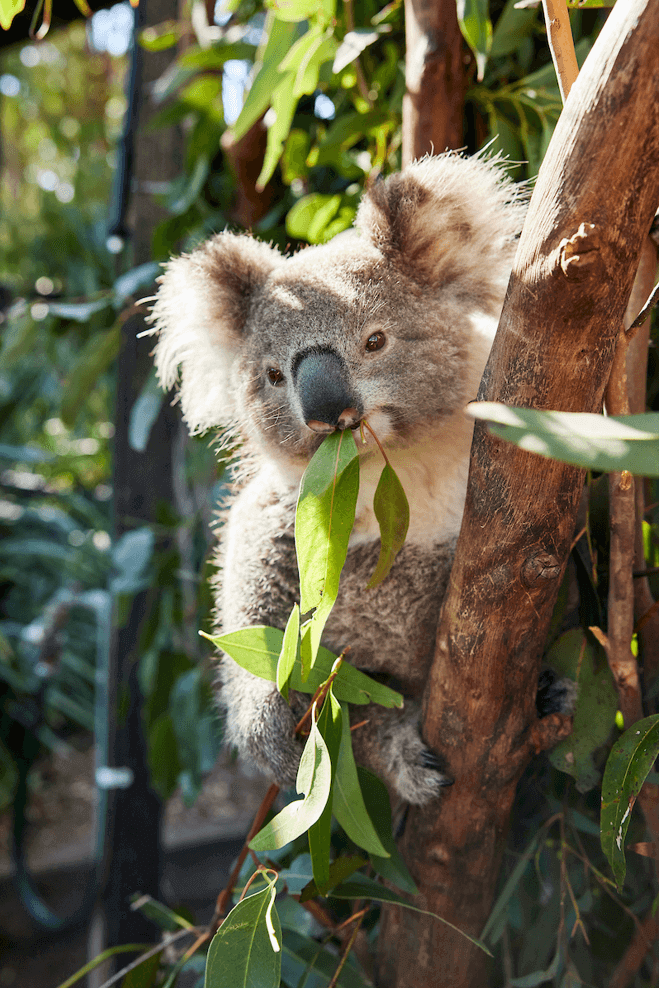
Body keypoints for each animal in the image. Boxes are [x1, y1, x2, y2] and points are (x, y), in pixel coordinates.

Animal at [147, 152, 529, 805]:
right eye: (275, 376)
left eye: (375, 340)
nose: (328, 411)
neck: (390, 466)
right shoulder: (288, 516)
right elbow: (259, 604)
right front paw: (273, 729)